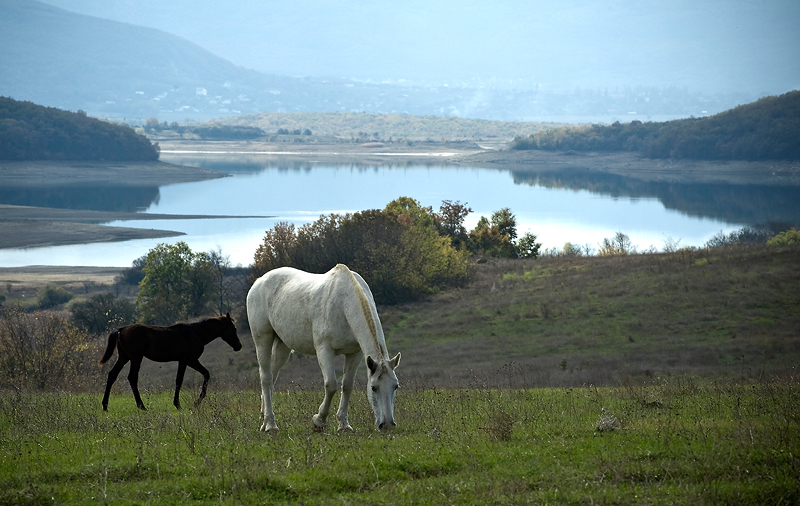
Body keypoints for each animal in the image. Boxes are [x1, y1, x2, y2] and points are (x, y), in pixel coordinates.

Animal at [98, 312, 241, 412]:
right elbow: (204, 374)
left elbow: (179, 380)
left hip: (124, 357)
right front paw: (193, 403)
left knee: (112, 375)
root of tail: (121, 329)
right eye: (233, 329)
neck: (196, 333)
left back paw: (105, 405)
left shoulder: (182, 361)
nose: (239, 346)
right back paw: (141, 406)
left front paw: (178, 404)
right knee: (132, 377)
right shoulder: (190, 360)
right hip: (135, 357)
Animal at [247, 262, 400, 432]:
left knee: (272, 376)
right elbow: (331, 385)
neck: (343, 303)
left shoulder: (355, 353)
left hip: (283, 345)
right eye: (373, 387)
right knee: (266, 378)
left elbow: (347, 386)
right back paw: (270, 424)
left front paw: (344, 425)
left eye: (395, 386)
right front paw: (318, 421)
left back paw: (263, 418)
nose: (387, 425)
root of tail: (259, 281)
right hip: (263, 339)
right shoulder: (324, 350)